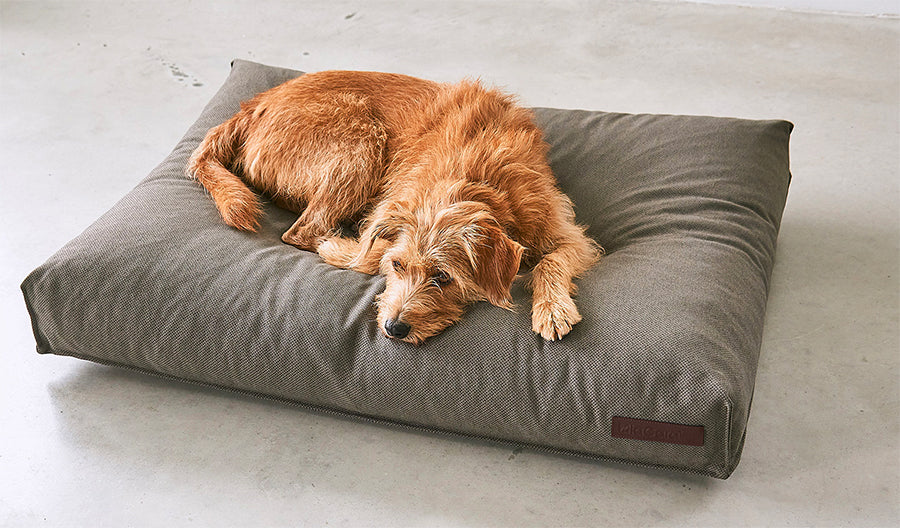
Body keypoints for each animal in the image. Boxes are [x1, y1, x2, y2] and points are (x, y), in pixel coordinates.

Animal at [186, 70, 600, 344]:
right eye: (399, 266)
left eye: (443, 277)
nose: (393, 328)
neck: (475, 180)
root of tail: (254, 105)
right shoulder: (392, 212)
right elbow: (370, 255)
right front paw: (344, 251)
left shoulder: (568, 234)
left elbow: (551, 261)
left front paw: (552, 308)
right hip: (361, 142)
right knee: (302, 230)